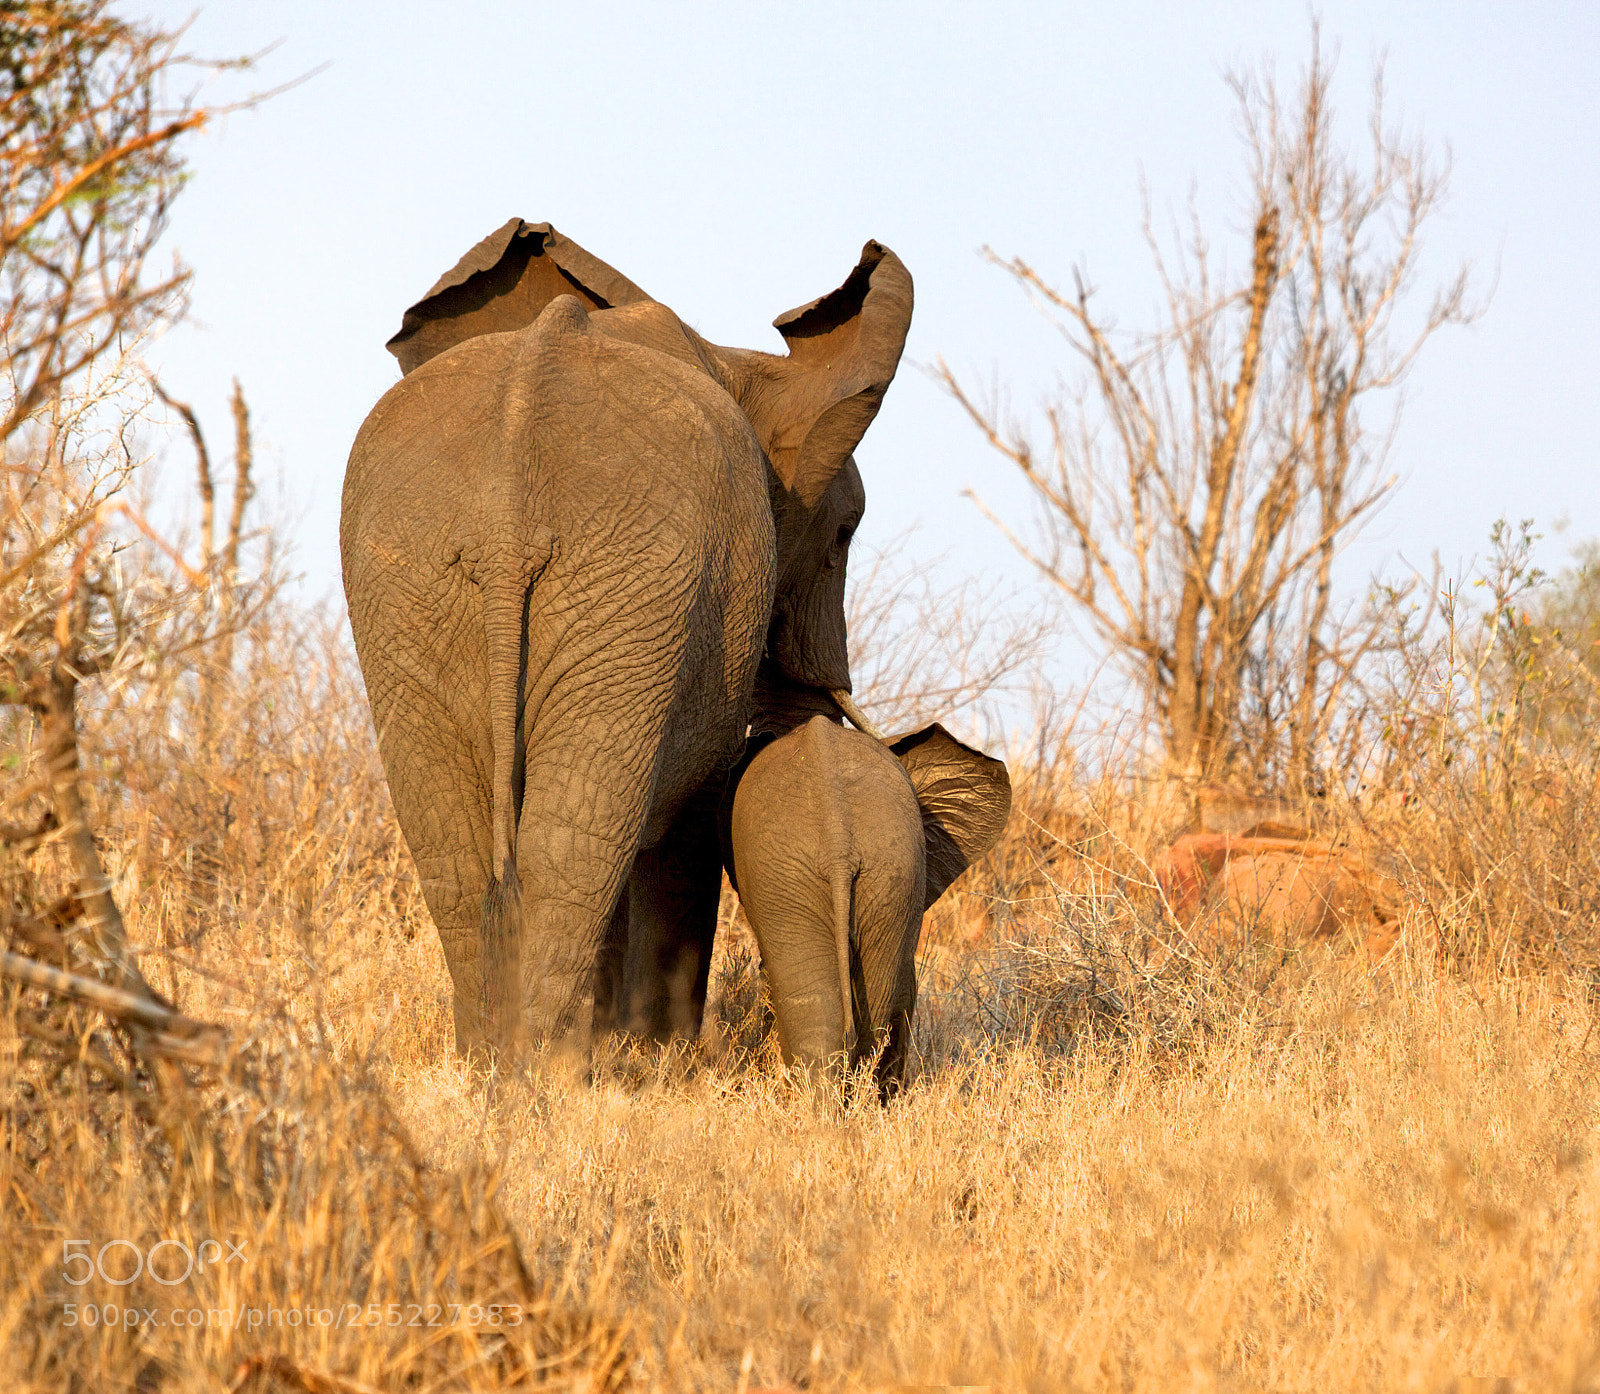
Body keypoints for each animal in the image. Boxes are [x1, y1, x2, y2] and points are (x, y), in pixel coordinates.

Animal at [340, 219, 913, 1057]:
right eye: (845, 535)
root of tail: (510, 508)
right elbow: (691, 819)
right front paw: (653, 1060)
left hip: (421, 583)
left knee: (465, 844)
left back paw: (493, 1065)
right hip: (620, 589)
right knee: (574, 846)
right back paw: (541, 1068)